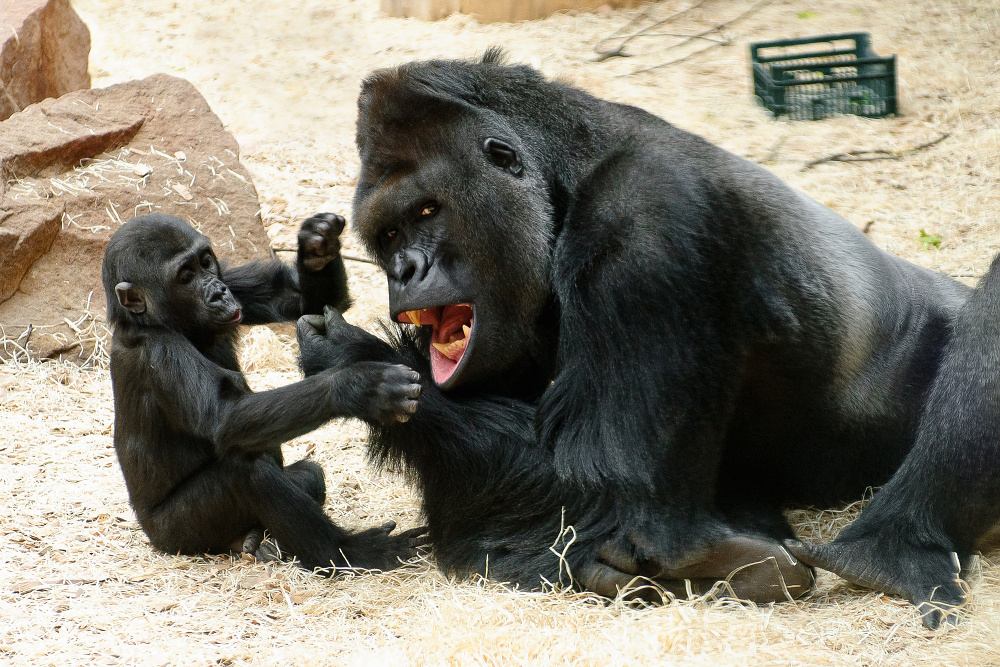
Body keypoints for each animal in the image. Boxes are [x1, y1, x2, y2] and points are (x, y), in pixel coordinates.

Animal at [103, 214, 424, 576]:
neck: (156, 321)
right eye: (185, 277)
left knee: (308, 476)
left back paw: (257, 540)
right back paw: (348, 552)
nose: (218, 292)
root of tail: (152, 536)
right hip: (177, 535)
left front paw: (317, 245)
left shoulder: (232, 279)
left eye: (205, 262)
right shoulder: (161, 353)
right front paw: (361, 386)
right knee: (246, 471)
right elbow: (224, 417)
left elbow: (295, 298)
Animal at [294, 49, 984, 620]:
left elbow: (608, 476)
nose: (405, 269)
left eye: (428, 210)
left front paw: (353, 359)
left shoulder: (646, 225)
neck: (569, 173)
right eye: (387, 235)